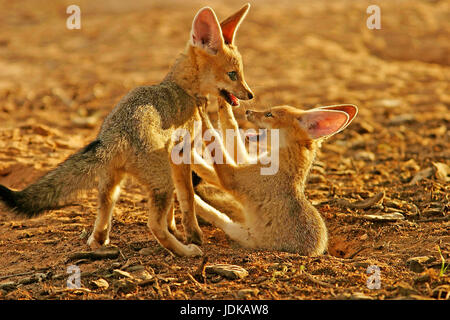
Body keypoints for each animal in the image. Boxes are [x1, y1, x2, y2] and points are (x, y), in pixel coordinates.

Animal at [0, 4, 253, 258]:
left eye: (241, 73)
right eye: (233, 74)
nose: (250, 95)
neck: (182, 88)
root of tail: (117, 130)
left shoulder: (174, 161)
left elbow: (175, 205)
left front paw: (175, 228)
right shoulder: (182, 156)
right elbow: (188, 199)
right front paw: (193, 235)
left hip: (113, 182)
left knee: (102, 218)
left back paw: (100, 242)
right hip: (158, 180)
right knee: (153, 225)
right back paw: (186, 251)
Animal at [195, 99, 356, 256]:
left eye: (269, 114)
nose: (248, 111)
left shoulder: (232, 178)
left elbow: (211, 144)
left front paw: (201, 116)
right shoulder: (244, 163)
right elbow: (230, 126)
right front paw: (223, 102)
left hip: (239, 231)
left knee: (217, 216)